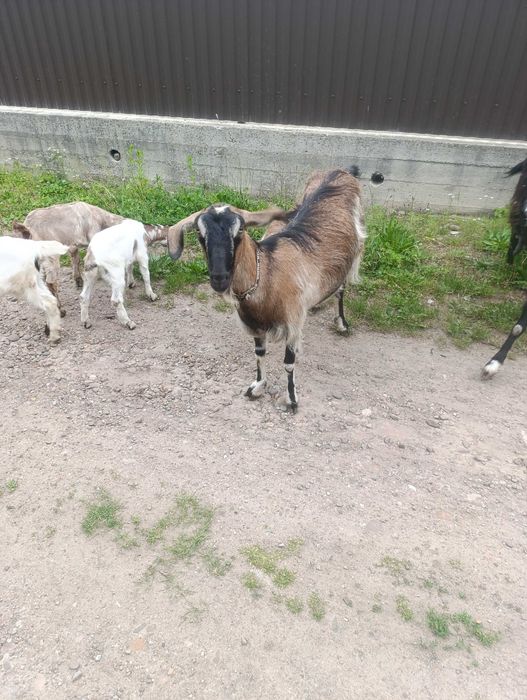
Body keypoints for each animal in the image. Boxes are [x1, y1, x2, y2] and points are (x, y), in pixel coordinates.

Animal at [168, 168, 365, 412]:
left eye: (240, 231)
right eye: (199, 234)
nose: (219, 278)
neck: (268, 275)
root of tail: (342, 171)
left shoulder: (292, 322)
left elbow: (288, 363)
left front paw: (291, 399)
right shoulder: (255, 325)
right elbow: (259, 354)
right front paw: (258, 386)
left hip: (352, 256)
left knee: (340, 289)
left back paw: (342, 324)